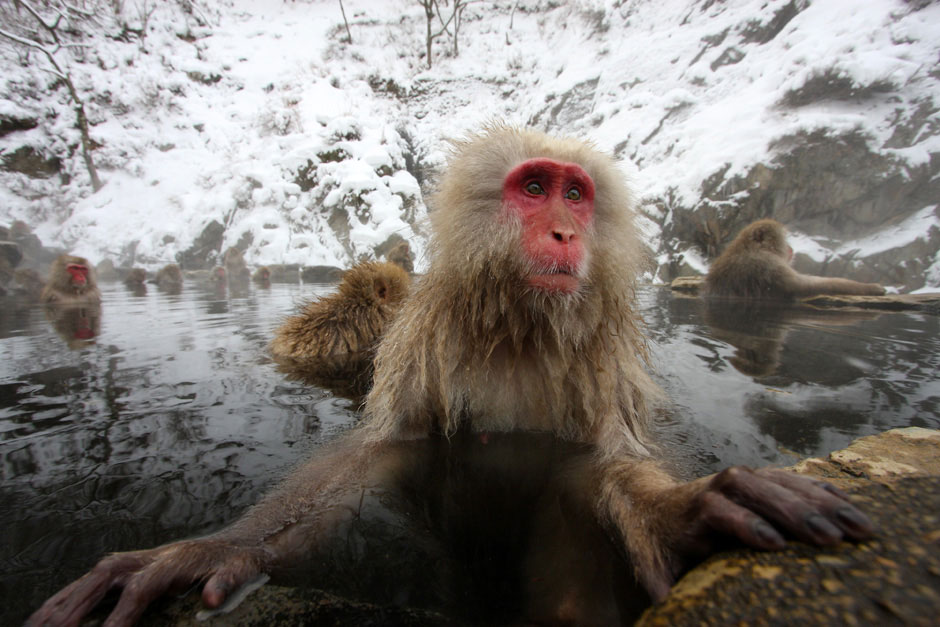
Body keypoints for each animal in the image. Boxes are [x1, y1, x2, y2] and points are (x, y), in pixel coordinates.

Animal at [704, 220, 888, 300]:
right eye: (785, 241)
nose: (791, 248)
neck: (747, 249)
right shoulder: (767, 265)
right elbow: (805, 287)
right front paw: (870, 288)